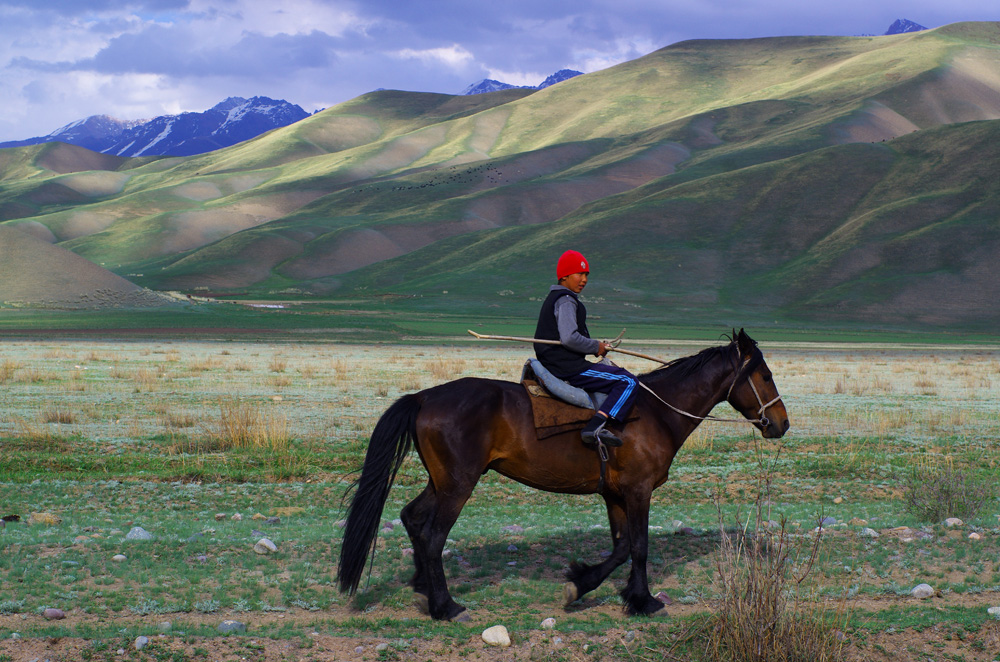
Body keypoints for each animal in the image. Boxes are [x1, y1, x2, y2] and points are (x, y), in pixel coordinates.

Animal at [337, 329, 788, 621]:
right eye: (765, 375)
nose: (782, 424)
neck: (656, 411)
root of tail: (424, 397)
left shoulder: (615, 494)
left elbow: (623, 546)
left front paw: (584, 584)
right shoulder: (638, 490)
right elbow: (639, 547)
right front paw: (642, 601)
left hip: (442, 481)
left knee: (412, 517)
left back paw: (421, 589)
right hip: (459, 485)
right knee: (432, 535)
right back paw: (445, 607)